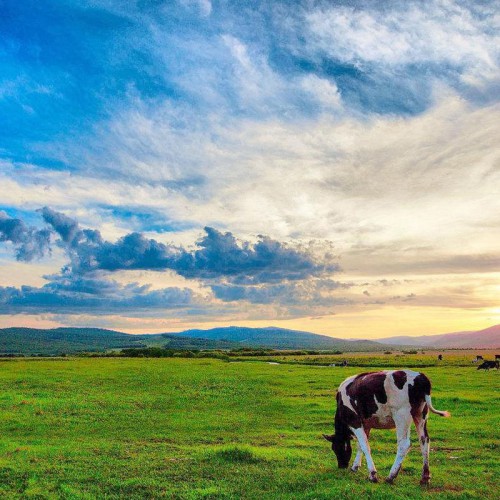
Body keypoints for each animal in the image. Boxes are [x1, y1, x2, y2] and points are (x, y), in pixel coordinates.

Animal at [322, 372, 452, 484]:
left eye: (335, 448)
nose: (342, 466)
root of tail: (421, 377)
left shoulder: (355, 421)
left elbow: (365, 446)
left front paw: (372, 474)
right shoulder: (366, 424)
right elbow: (360, 445)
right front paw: (355, 466)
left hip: (402, 416)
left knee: (404, 444)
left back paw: (391, 476)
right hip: (421, 414)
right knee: (424, 441)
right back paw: (425, 477)